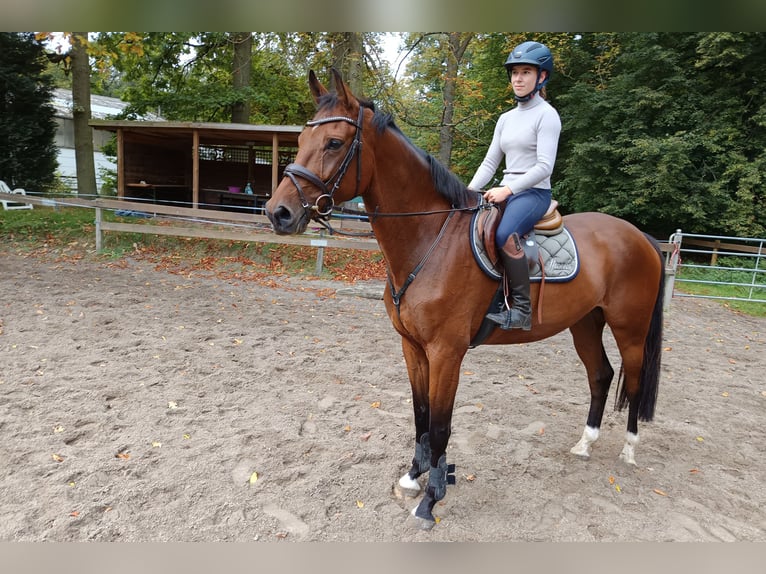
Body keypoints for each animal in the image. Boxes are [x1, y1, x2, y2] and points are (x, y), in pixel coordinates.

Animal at [268, 68, 664, 532]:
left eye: (333, 143)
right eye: (300, 140)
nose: (278, 213)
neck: (430, 240)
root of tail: (641, 237)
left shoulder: (447, 352)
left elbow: (440, 425)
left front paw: (432, 498)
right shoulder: (412, 347)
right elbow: (421, 416)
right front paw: (413, 476)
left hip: (629, 328)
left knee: (633, 382)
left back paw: (629, 450)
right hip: (585, 322)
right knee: (600, 376)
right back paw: (585, 444)